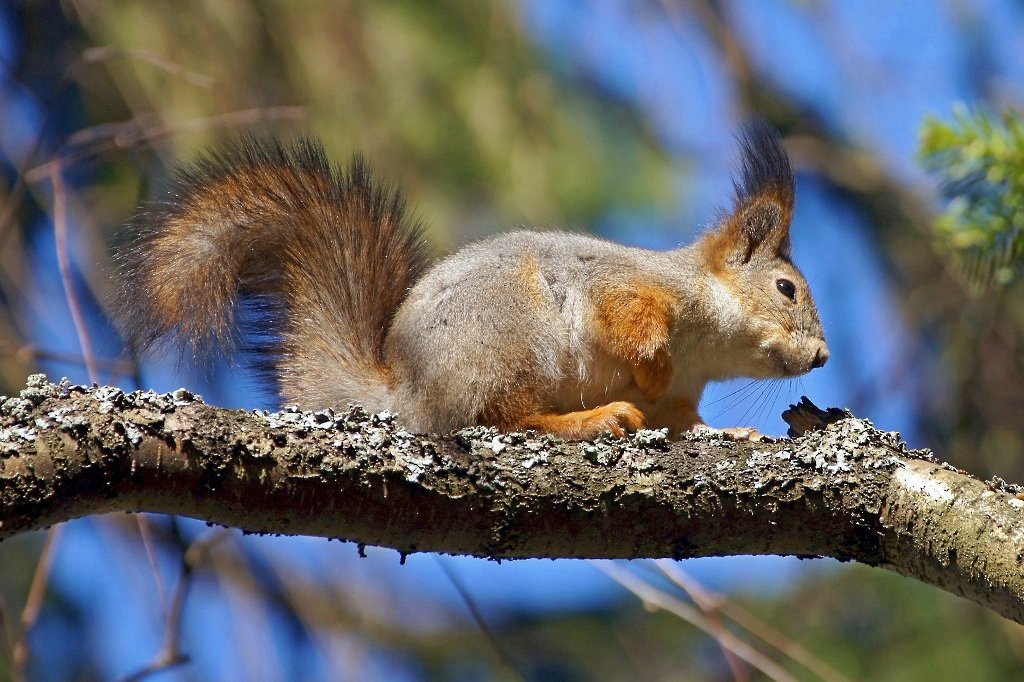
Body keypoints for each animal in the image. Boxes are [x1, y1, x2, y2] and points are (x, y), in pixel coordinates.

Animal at [114, 120, 831, 440]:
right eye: (787, 288)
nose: (824, 357)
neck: (706, 344)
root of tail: (410, 394)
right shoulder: (615, 286)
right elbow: (626, 323)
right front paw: (650, 364)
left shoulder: (682, 401)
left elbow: (682, 423)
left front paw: (733, 435)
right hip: (510, 338)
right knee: (502, 416)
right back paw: (592, 417)